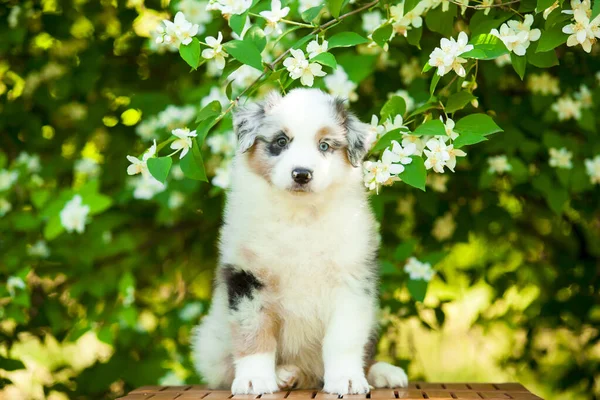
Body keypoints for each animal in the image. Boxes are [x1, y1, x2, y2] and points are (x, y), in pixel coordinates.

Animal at [192, 88, 408, 394]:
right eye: (281, 142)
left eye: (324, 146)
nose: (302, 174)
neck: (299, 215)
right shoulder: (246, 276)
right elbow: (252, 331)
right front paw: (254, 379)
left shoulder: (351, 280)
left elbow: (343, 339)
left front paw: (347, 379)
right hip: (211, 341)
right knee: (223, 367)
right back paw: (285, 374)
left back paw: (383, 372)